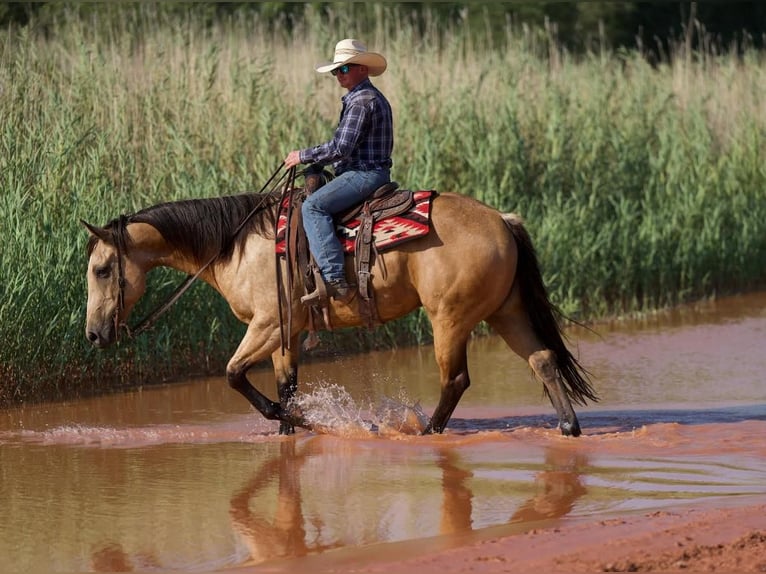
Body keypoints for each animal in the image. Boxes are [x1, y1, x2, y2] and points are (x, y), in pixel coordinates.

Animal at [84, 184, 600, 436]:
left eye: (102, 270)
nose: (92, 334)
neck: (239, 245)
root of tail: (502, 221)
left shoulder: (266, 325)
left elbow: (233, 374)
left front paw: (292, 419)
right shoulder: (285, 332)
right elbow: (287, 385)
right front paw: (288, 428)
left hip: (449, 319)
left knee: (455, 380)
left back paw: (427, 433)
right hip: (506, 312)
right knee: (542, 360)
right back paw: (568, 428)